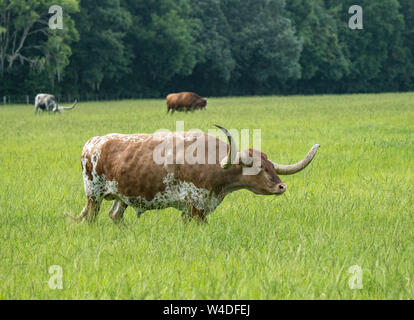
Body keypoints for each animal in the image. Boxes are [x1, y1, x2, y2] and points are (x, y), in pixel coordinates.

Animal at [69, 124, 318, 224]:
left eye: (270, 165)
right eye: (258, 167)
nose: (281, 187)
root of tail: (92, 142)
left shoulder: (194, 208)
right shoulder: (196, 206)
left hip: (123, 196)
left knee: (115, 215)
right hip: (93, 195)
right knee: (92, 218)